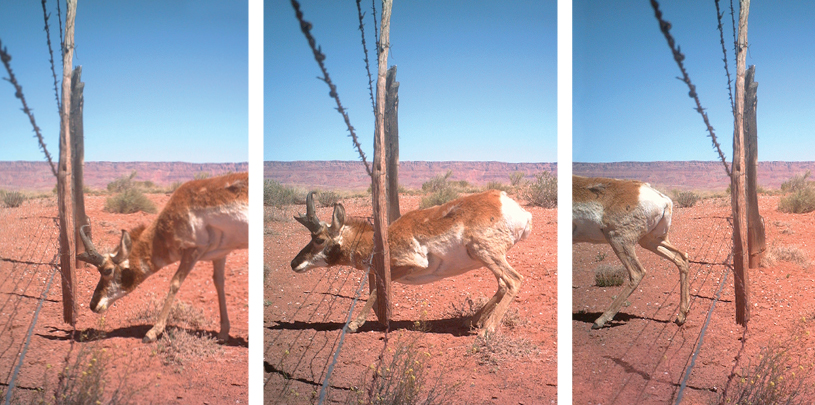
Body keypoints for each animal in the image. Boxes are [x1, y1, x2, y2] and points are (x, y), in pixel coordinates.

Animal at [78, 170, 247, 340]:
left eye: (107, 270)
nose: (92, 305)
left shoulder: (193, 250)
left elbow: (175, 283)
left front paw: (152, 332)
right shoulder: (220, 254)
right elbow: (219, 283)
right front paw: (223, 333)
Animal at [290, 189, 532, 334]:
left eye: (319, 239)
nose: (293, 263)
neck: (381, 238)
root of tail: (509, 204)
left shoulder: (408, 265)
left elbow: (376, 290)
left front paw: (353, 324)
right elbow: (375, 290)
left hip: (485, 253)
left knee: (514, 280)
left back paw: (487, 329)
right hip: (485, 258)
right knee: (502, 285)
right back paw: (472, 321)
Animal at [572, 174, 688, 328]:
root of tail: (663, 200)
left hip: (619, 241)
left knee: (637, 273)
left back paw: (600, 320)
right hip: (650, 241)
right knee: (682, 258)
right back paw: (681, 316)